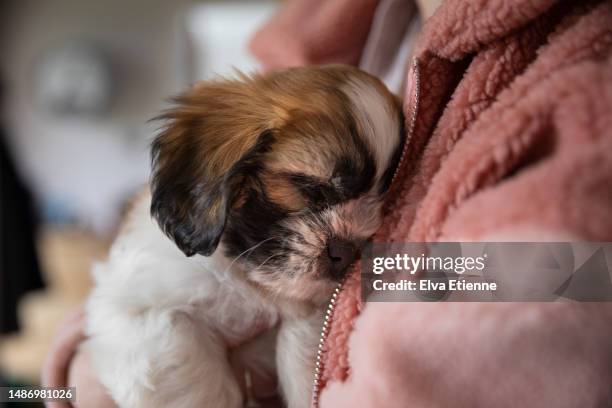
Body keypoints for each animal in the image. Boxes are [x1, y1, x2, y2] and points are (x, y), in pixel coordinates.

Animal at [83, 65, 404, 406]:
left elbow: (298, 345)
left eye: (381, 204)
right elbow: (187, 368)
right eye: (312, 187)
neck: (242, 275)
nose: (346, 250)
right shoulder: (136, 311)